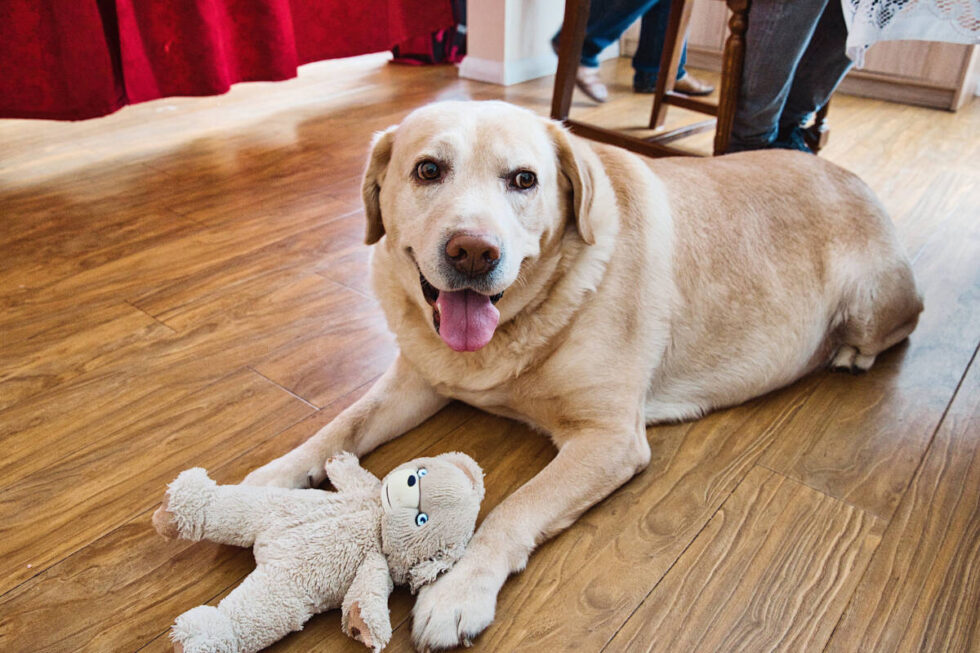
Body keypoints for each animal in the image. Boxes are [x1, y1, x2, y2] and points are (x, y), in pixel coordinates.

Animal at [243, 100, 920, 648]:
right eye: (428, 170)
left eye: (524, 179)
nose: (473, 252)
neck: (510, 333)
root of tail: (852, 176)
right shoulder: (419, 379)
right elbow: (340, 426)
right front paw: (268, 480)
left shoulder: (610, 439)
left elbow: (514, 507)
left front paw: (459, 590)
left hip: (870, 305)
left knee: (898, 328)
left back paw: (851, 354)